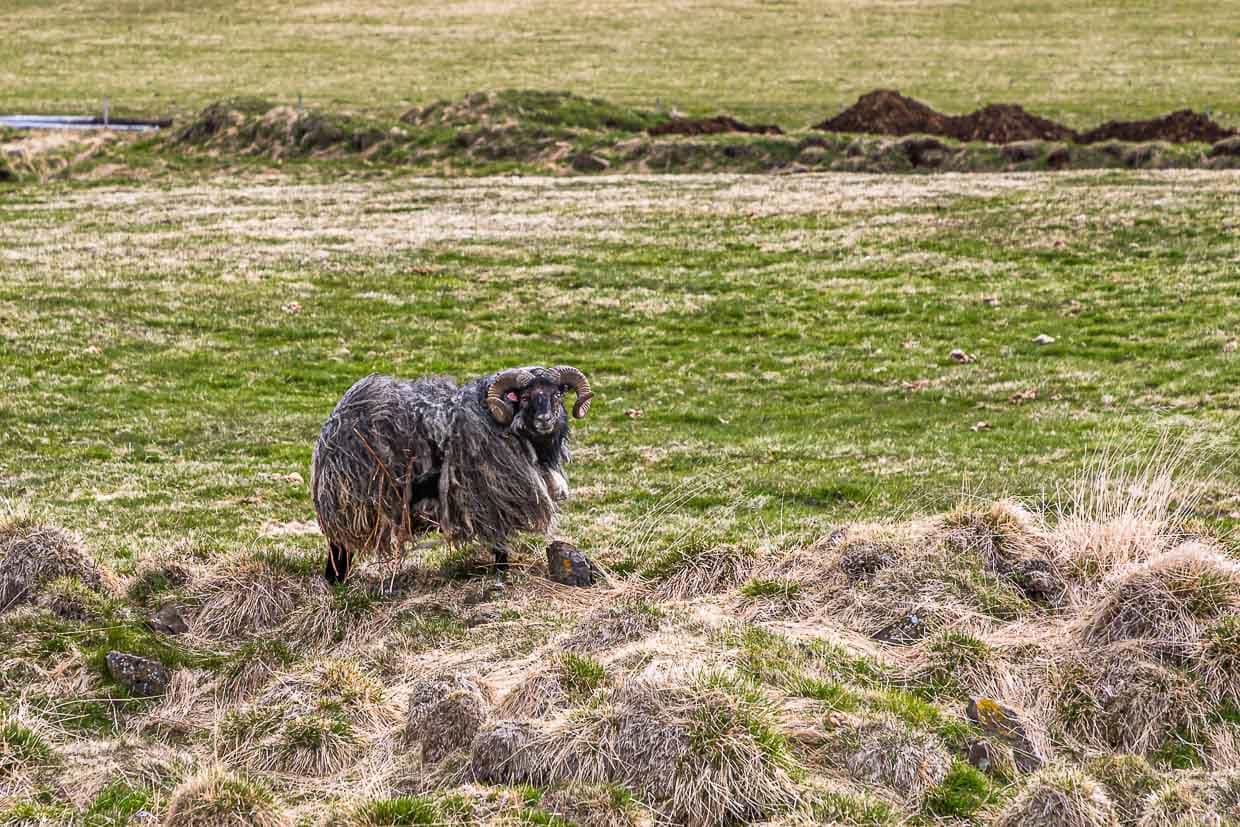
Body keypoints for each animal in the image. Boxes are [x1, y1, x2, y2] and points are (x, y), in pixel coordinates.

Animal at [310, 365, 593, 582]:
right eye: (524, 398)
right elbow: (499, 545)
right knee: (339, 547)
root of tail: (332, 426)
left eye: (558, 394)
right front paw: (502, 574)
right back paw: (336, 583)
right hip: (352, 503)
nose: (545, 419)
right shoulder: (491, 501)